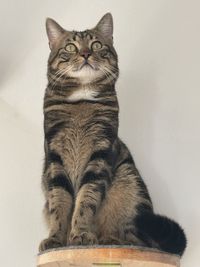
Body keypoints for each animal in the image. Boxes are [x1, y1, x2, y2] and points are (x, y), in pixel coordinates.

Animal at [38, 13, 186, 256]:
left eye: (96, 45)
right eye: (70, 47)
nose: (85, 54)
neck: (81, 101)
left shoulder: (101, 150)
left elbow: (86, 198)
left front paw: (81, 234)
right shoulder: (54, 154)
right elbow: (59, 202)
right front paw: (56, 239)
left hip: (129, 184)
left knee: (132, 236)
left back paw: (109, 240)